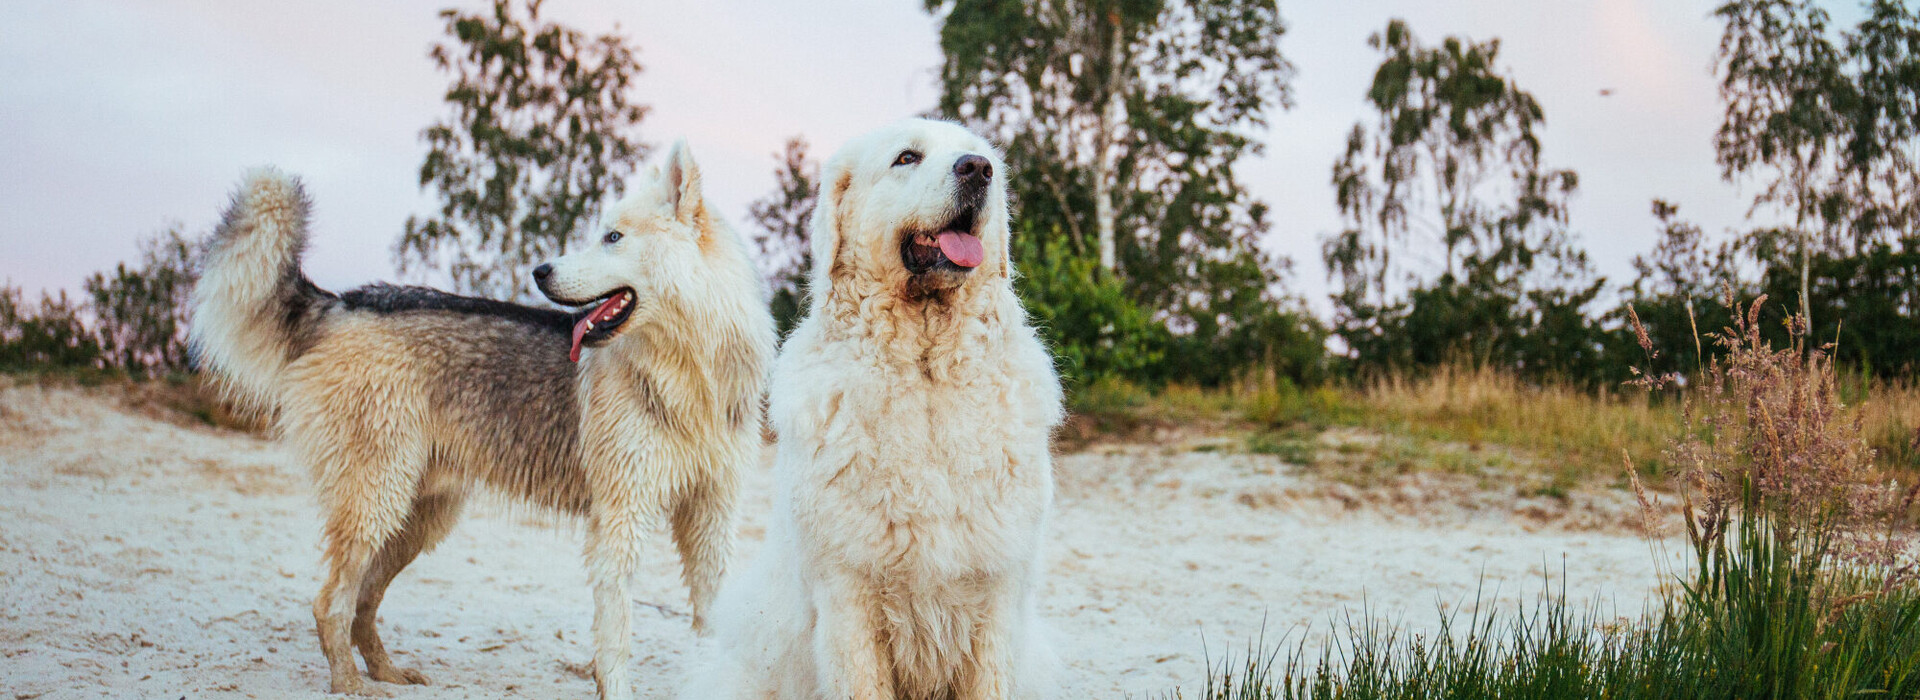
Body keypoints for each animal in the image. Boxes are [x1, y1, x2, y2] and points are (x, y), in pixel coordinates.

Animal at [683, 117, 1067, 694]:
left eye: (977, 157)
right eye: (907, 158)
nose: (978, 169)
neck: (927, 374)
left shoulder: (998, 594)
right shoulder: (849, 596)